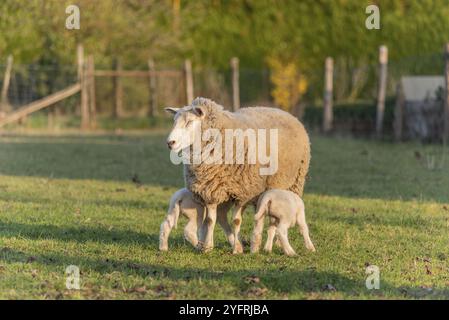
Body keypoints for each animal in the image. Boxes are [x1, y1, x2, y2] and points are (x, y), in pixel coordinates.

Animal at [166, 97, 310, 252]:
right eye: (174, 121)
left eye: (189, 122)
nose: (170, 143)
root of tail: (286, 113)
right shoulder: (211, 190)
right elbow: (210, 220)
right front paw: (208, 247)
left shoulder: (243, 193)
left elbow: (236, 221)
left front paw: (235, 249)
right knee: (226, 216)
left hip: (293, 183)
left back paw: (270, 243)